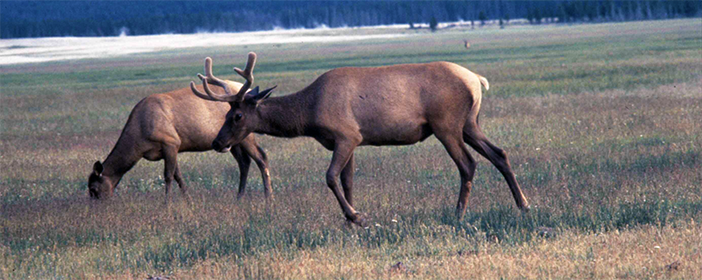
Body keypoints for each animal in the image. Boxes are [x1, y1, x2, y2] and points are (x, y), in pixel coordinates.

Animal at [89, 77, 270, 202]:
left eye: (93, 189)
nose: (95, 208)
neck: (139, 140)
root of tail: (249, 89)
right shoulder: (169, 149)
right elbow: (178, 176)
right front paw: (189, 201)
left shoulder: (170, 142)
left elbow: (168, 176)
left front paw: (167, 204)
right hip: (232, 141)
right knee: (244, 162)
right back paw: (239, 197)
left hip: (246, 134)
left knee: (261, 157)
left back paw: (267, 196)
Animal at [190, 52, 532, 225]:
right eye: (224, 114)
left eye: (236, 116)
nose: (218, 142)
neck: (309, 113)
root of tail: (477, 80)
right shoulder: (352, 141)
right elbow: (348, 180)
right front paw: (351, 221)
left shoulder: (346, 135)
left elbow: (330, 177)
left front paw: (355, 215)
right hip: (470, 123)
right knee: (499, 153)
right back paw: (523, 205)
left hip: (446, 124)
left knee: (468, 164)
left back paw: (458, 213)